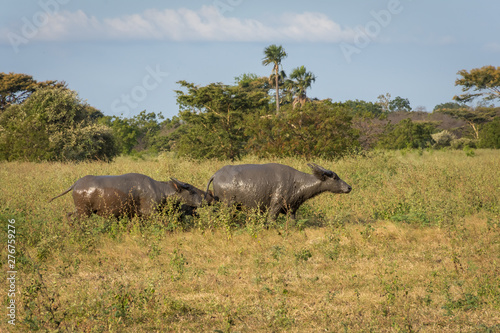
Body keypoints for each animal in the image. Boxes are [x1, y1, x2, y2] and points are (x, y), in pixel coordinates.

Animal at [47, 172, 203, 219]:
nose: (205, 199)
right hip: (84, 212)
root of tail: (76, 184)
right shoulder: (151, 212)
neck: (161, 190)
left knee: (69, 215)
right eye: (191, 190)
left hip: (80, 210)